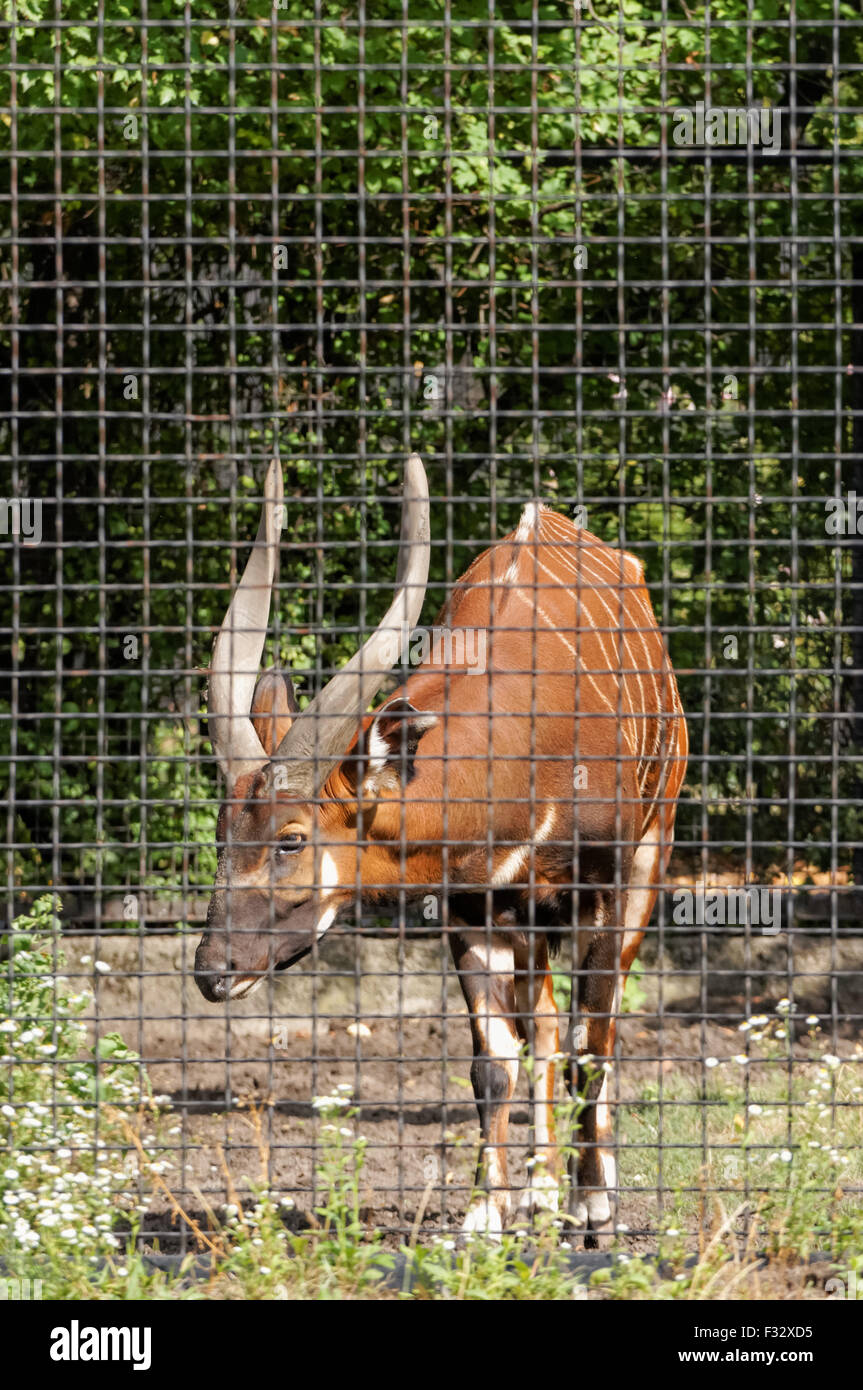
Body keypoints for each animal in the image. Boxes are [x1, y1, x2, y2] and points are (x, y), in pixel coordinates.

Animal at [194, 453, 686, 1239]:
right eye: (223, 832)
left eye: (290, 840)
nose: (213, 972)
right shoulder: (470, 911)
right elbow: (493, 1062)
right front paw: (489, 1212)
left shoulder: (605, 890)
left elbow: (594, 1044)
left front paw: (594, 1208)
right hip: (529, 921)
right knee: (542, 1025)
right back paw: (538, 1190)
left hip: (648, 853)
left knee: (588, 1035)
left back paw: (582, 1190)